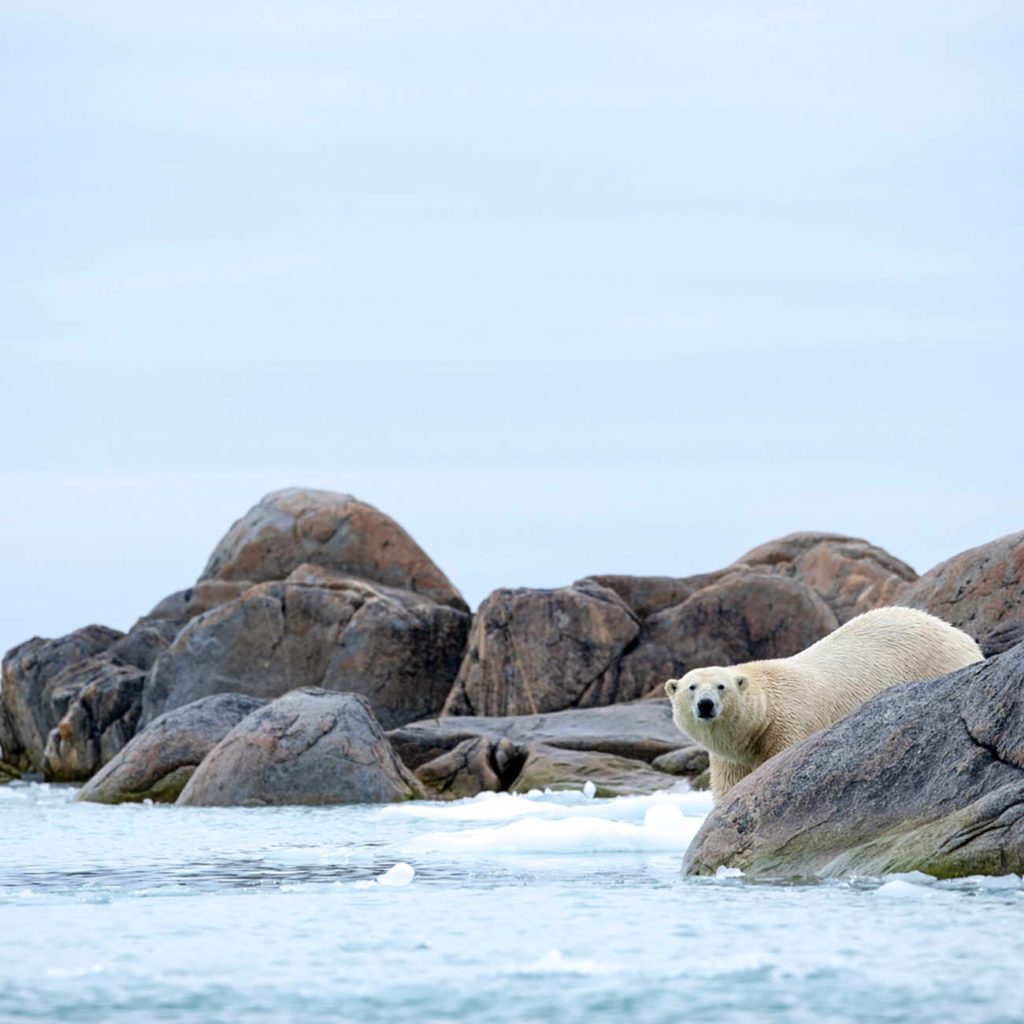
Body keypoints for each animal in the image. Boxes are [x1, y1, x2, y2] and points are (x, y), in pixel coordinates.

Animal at [663, 606, 983, 798]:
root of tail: (964, 637)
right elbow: (729, 788)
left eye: (721, 686)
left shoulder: (791, 725)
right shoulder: (733, 757)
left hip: (939, 662)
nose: (706, 705)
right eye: (691, 687)